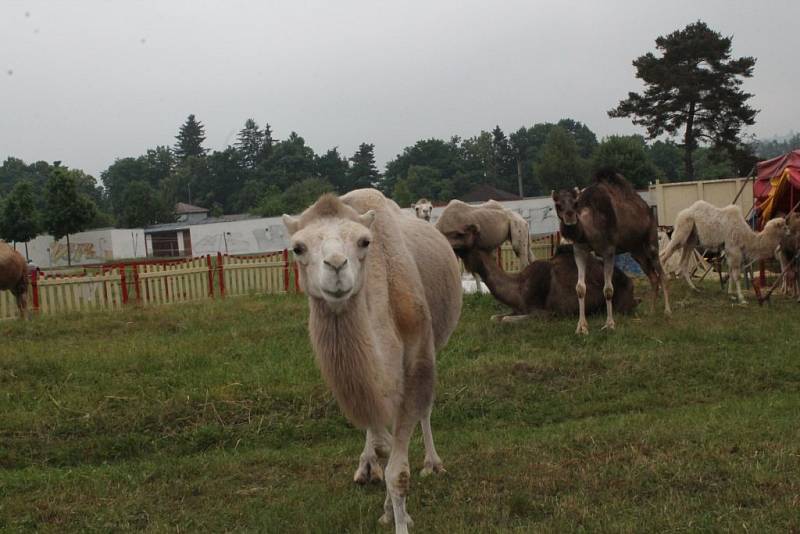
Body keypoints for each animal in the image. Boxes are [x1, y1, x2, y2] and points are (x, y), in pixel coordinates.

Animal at [282, 191, 460, 532]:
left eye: (365, 241)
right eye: (298, 248)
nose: (336, 265)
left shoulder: (419, 360)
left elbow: (399, 472)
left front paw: (401, 518)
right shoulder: (370, 387)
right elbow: (383, 445)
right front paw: (389, 509)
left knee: (426, 411)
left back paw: (433, 463)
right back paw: (368, 469)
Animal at [552, 168, 668, 336]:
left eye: (575, 203)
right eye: (557, 204)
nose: (570, 217)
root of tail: (648, 209)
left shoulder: (608, 251)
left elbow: (608, 289)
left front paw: (610, 324)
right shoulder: (580, 249)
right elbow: (580, 288)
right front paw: (581, 327)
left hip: (651, 240)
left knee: (662, 273)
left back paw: (667, 311)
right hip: (636, 250)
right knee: (653, 276)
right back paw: (652, 312)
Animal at [656, 200, 788, 304]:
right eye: (784, 226)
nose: (789, 231)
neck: (745, 235)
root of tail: (681, 214)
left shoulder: (729, 251)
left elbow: (730, 271)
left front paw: (731, 293)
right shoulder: (734, 249)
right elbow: (736, 274)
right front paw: (742, 299)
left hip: (691, 239)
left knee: (682, 262)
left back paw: (694, 289)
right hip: (682, 231)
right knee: (664, 257)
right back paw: (661, 289)